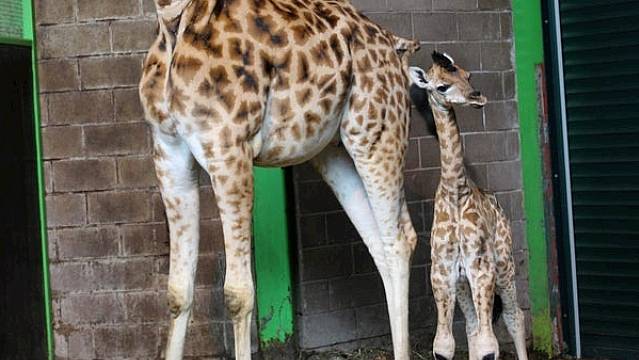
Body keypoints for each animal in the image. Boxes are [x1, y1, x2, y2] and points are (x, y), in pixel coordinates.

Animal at [138, 0, 422, 358]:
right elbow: (177, 291)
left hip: (376, 134)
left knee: (398, 240)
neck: (174, 19)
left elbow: (238, 293)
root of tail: (398, 49)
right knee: (382, 240)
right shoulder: (168, 149)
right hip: (334, 151)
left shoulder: (228, 147)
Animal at [412, 52, 528, 360]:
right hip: (464, 283)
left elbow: (490, 346)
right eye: (442, 86)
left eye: (468, 75)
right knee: (474, 327)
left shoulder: (481, 269)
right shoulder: (442, 273)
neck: (455, 193)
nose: (478, 97)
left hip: (504, 264)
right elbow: (444, 345)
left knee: (514, 316)